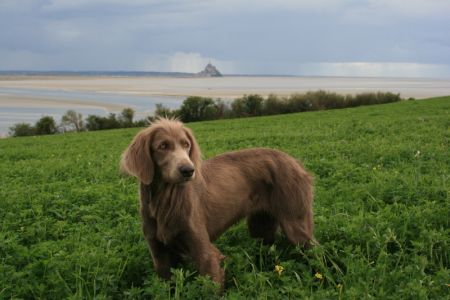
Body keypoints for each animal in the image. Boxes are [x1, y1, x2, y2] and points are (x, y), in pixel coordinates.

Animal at [121, 117, 314, 288]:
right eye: (162, 146)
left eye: (186, 144)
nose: (188, 170)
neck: (165, 202)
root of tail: (296, 162)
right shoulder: (160, 256)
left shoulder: (206, 254)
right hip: (260, 226)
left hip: (296, 225)